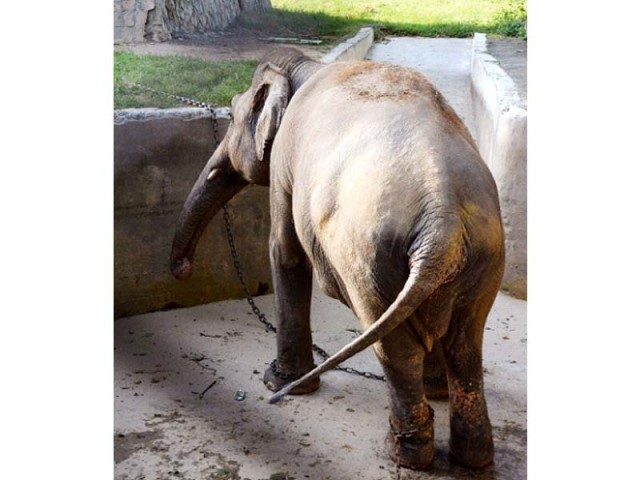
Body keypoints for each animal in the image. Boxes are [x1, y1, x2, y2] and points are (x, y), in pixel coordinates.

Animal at [170, 47, 504, 468]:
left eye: (231, 115)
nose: (182, 269)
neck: (307, 64)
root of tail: (441, 219)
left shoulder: (284, 162)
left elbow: (285, 251)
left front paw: (277, 382)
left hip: (373, 257)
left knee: (396, 346)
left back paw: (403, 454)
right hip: (482, 257)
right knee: (464, 341)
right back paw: (469, 453)